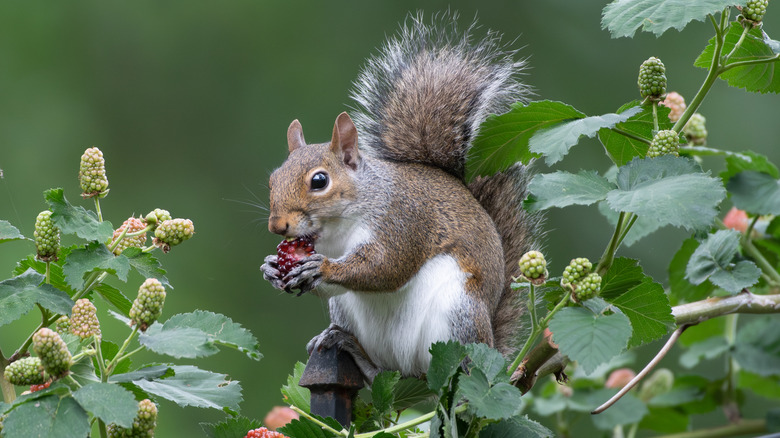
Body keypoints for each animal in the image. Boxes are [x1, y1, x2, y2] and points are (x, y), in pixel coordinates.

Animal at [261, 14, 542, 381]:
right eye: (272, 180)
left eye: (319, 181)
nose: (277, 226)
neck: (338, 228)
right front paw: (270, 267)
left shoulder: (404, 222)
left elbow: (386, 268)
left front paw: (322, 266)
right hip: (352, 318)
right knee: (378, 374)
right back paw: (346, 345)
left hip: (459, 314)